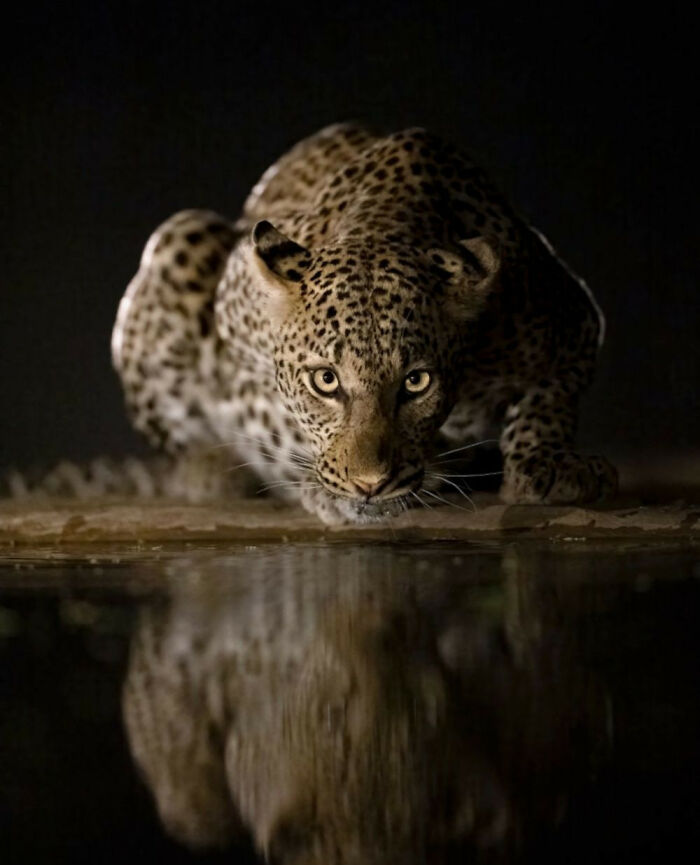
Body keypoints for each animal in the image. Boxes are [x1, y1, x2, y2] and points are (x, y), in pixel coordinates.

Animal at [112, 122, 617, 524]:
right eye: (326, 380)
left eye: (416, 381)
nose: (370, 484)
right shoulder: (238, 333)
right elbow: (275, 416)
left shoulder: (572, 318)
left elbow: (549, 399)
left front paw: (548, 464)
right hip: (183, 235)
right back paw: (207, 472)